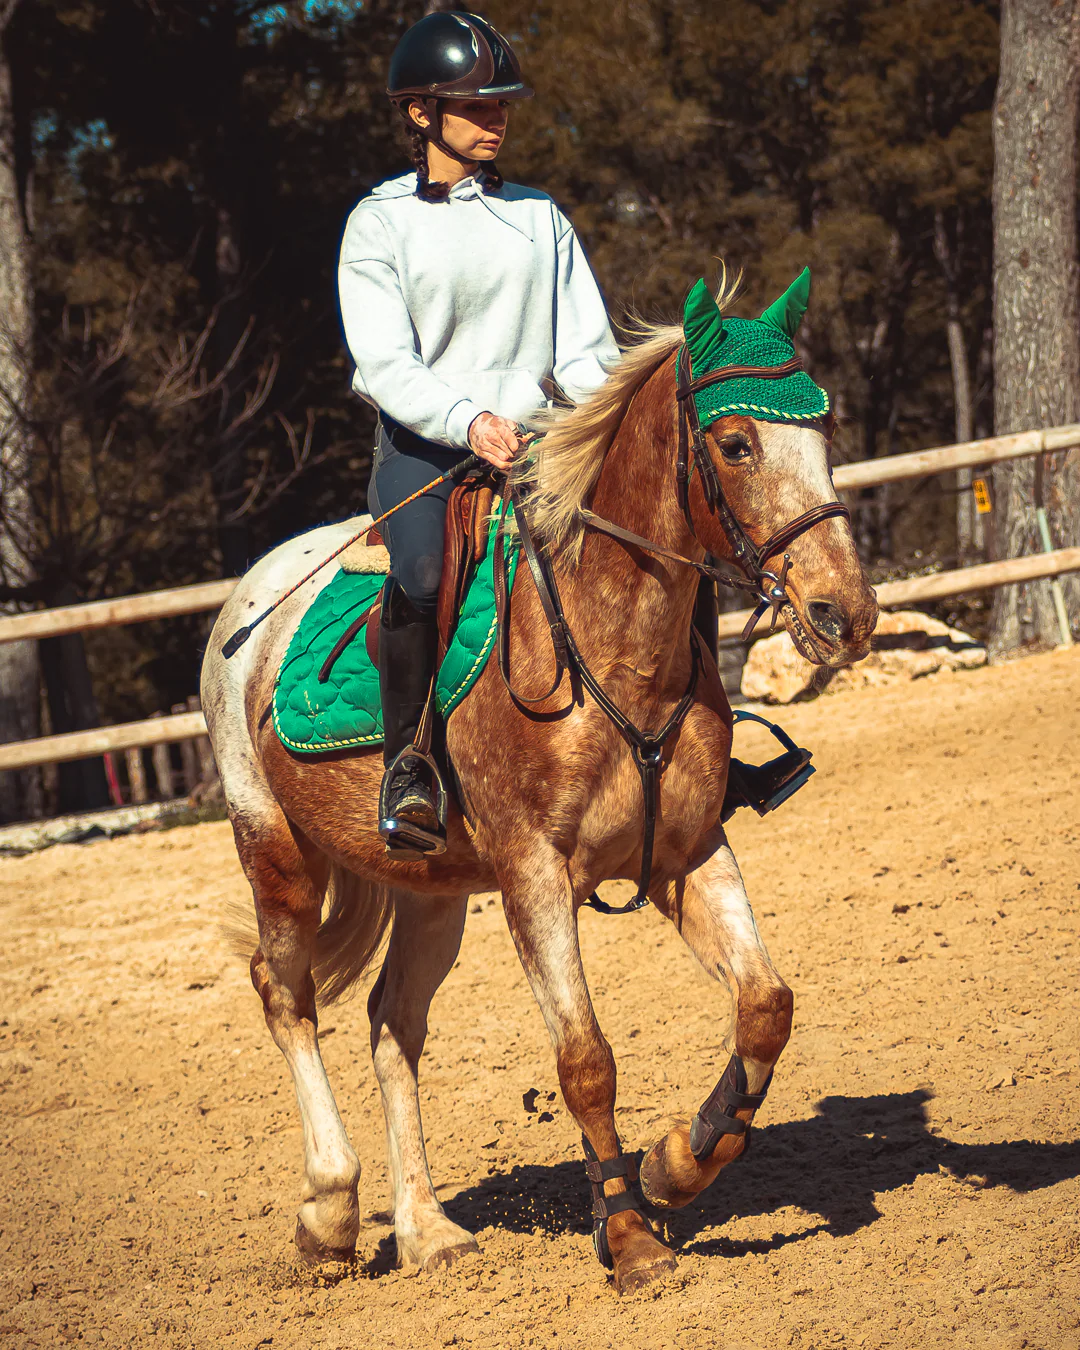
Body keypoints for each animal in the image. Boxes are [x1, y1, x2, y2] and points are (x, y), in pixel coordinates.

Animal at [200, 270, 878, 1295]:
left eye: (825, 429)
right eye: (736, 443)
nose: (847, 612)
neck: (609, 643)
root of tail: (251, 597)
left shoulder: (689, 852)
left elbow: (766, 1007)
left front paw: (674, 1164)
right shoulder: (534, 875)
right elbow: (585, 1057)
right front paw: (630, 1238)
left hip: (431, 888)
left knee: (392, 1025)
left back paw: (429, 1230)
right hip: (275, 853)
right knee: (286, 997)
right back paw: (329, 1213)